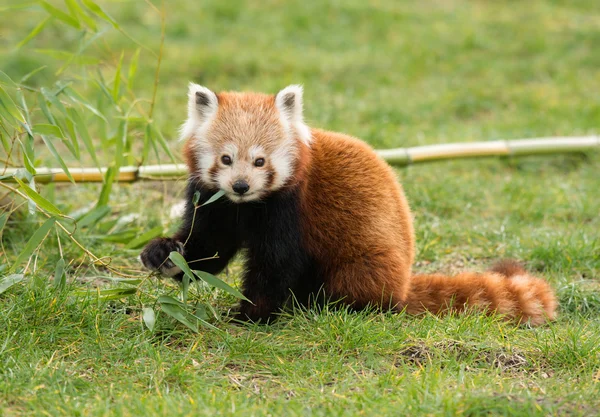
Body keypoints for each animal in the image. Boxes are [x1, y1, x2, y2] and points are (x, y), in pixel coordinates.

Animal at [141, 83, 556, 324]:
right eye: (226, 159)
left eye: (260, 161)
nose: (241, 185)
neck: (248, 205)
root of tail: (404, 284)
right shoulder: (216, 201)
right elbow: (206, 250)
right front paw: (164, 254)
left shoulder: (289, 207)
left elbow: (277, 263)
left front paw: (251, 314)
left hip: (365, 263)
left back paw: (321, 305)